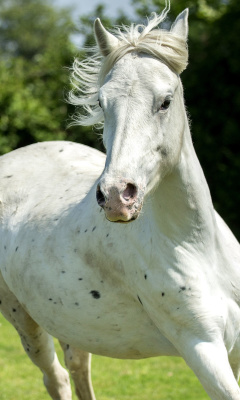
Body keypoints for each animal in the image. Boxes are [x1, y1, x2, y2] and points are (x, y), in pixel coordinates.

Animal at [0, 6, 240, 400]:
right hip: (24, 320)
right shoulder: (202, 349)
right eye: (101, 102)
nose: (116, 197)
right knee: (56, 378)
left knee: (77, 369)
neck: (196, 247)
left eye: (165, 101)